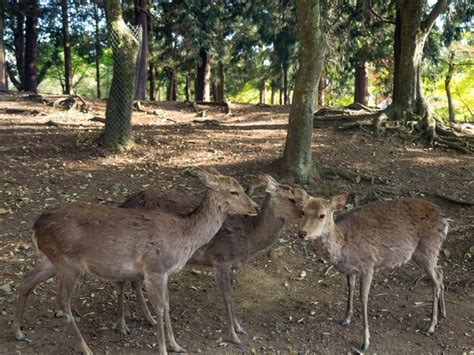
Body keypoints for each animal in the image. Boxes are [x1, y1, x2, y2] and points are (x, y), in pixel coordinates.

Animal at [12, 169, 260, 355]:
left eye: (242, 189)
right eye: (234, 191)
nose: (256, 207)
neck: (184, 238)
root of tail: (36, 225)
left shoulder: (165, 273)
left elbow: (167, 305)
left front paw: (177, 345)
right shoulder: (154, 268)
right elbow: (159, 308)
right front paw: (163, 349)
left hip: (50, 260)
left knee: (26, 280)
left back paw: (19, 332)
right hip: (67, 263)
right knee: (63, 301)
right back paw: (85, 348)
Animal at [118, 175, 308, 344]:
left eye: (302, 196)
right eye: (292, 199)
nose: (303, 216)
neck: (249, 239)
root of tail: (123, 202)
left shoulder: (232, 265)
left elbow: (231, 294)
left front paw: (239, 328)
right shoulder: (221, 258)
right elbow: (227, 296)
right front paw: (234, 336)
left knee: (134, 281)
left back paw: (150, 319)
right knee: (121, 281)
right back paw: (123, 327)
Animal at [298, 193, 450, 352]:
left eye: (322, 215)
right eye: (302, 211)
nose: (302, 233)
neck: (343, 245)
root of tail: (445, 220)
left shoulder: (368, 265)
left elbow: (363, 298)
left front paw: (365, 341)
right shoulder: (351, 269)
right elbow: (350, 289)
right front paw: (345, 319)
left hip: (428, 249)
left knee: (436, 281)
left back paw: (431, 326)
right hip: (424, 254)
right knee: (440, 273)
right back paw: (442, 313)